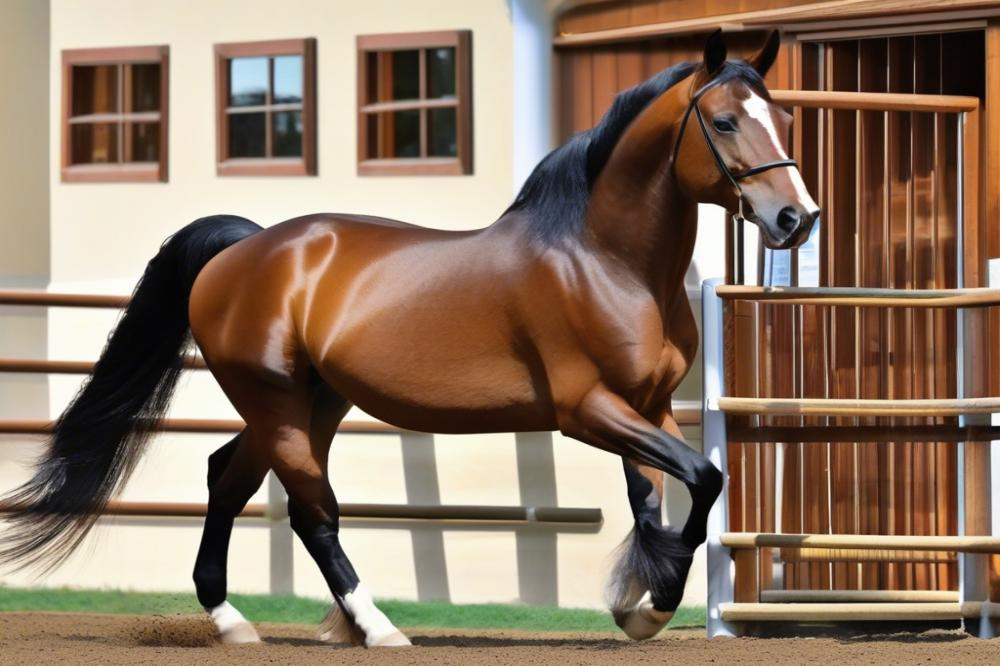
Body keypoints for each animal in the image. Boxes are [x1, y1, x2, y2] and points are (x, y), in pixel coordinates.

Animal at [1, 29, 818, 646]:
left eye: (784, 119)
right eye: (724, 122)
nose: (796, 219)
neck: (603, 261)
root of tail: (244, 247)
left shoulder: (644, 407)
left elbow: (658, 498)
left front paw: (638, 607)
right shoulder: (587, 409)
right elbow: (703, 478)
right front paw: (648, 607)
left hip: (311, 403)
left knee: (228, 477)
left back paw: (238, 621)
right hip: (278, 403)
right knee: (313, 511)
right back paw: (376, 627)